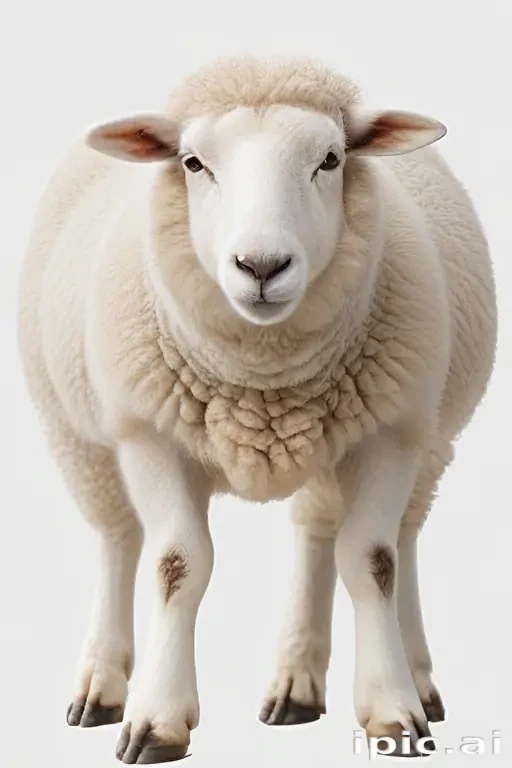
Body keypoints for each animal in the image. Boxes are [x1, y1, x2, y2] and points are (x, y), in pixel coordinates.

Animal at [18, 54, 497, 763]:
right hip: (79, 438)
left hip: (426, 438)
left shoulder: (389, 433)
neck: (265, 377)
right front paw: (156, 718)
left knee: (372, 537)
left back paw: (353, 679)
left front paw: (394, 708)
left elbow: (372, 562)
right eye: (193, 163)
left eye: (330, 159)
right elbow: (175, 565)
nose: (262, 266)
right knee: (118, 539)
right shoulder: (148, 436)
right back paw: (102, 684)